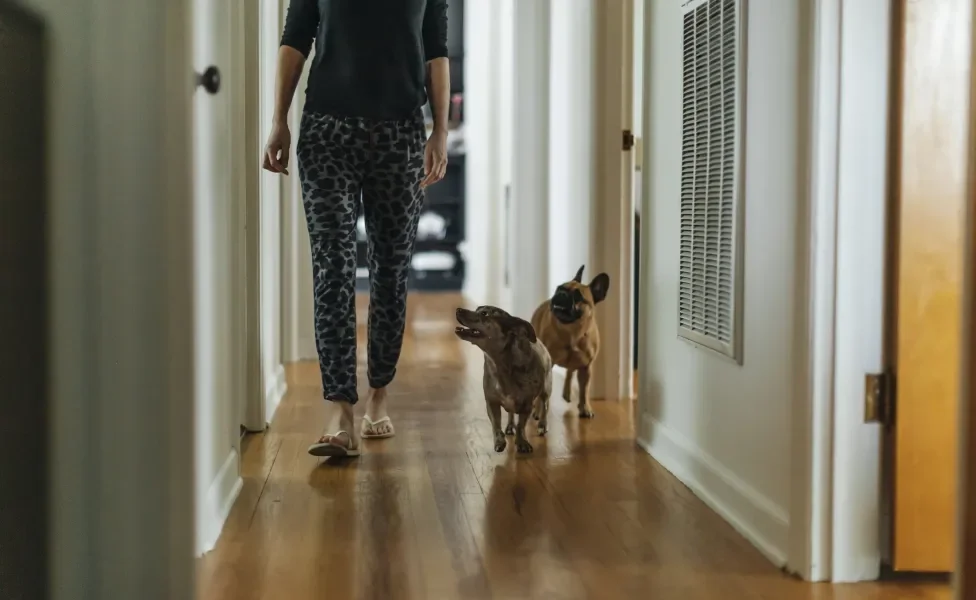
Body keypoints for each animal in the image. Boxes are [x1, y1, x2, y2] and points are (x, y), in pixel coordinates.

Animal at [528, 264, 608, 420]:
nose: (561, 294)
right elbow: (543, 393)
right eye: (559, 288)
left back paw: (568, 394)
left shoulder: (586, 367)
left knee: (571, 371)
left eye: (578, 296)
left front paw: (585, 407)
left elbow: (584, 390)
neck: (572, 331)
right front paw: (539, 411)